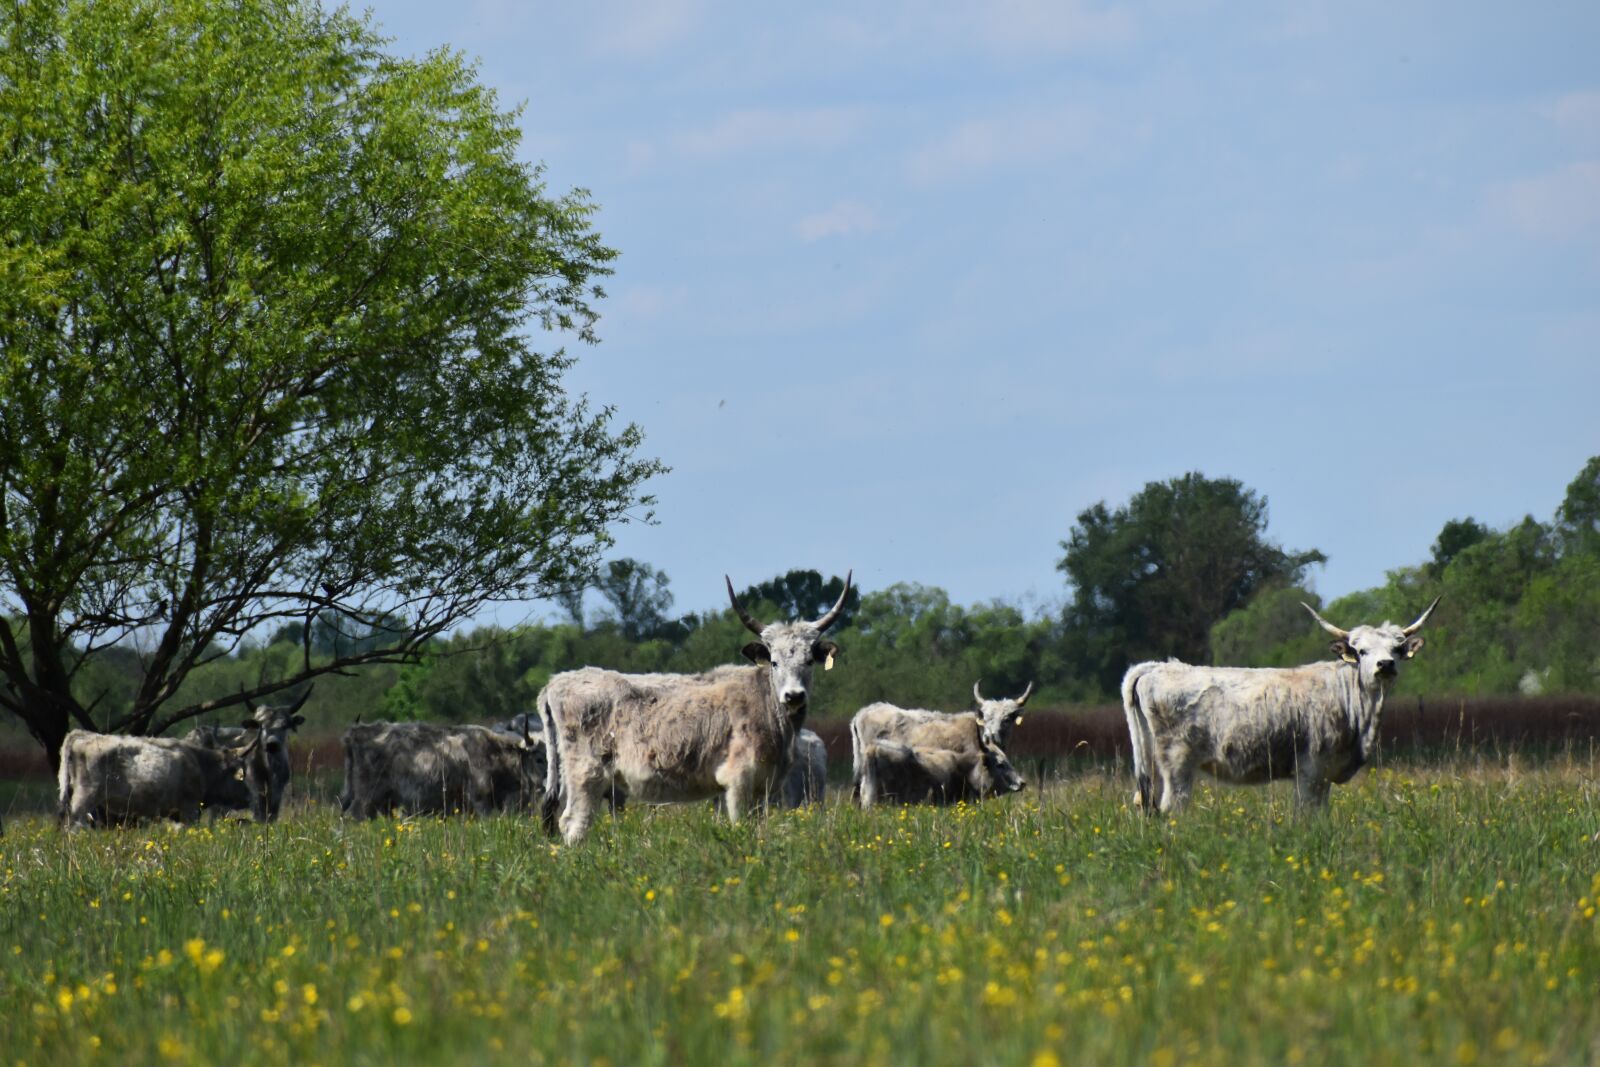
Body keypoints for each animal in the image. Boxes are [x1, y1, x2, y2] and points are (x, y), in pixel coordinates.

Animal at [57, 730, 257, 828]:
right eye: (241, 775)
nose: (249, 798)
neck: (200, 763)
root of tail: (86, 735)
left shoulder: (176, 815)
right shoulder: (190, 809)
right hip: (85, 796)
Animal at [539, 572, 850, 844]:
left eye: (809, 661)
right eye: (774, 662)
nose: (794, 695)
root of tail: (556, 682)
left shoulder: (763, 788)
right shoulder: (738, 782)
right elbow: (741, 828)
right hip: (586, 774)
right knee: (573, 823)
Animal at [1121, 597, 1441, 813]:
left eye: (1396, 649)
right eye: (1361, 651)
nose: (1385, 665)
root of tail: (1156, 667)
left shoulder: (1324, 775)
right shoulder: (1310, 772)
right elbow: (1306, 816)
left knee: (1143, 803)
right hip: (1177, 764)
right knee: (1171, 808)